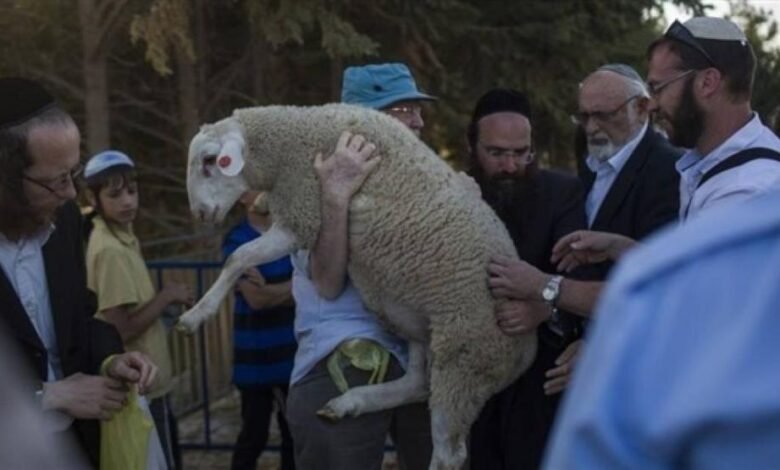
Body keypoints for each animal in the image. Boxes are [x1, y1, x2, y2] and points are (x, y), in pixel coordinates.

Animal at [179, 103, 537, 470]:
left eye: (211, 161)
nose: (200, 212)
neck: (289, 144)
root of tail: (527, 350)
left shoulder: (304, 214)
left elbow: (238, 257)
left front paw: (195, 316)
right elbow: (241, 255)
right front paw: (262, 203)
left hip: (463, 357)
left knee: (449, 454)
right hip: (415, 323)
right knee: (416, 384)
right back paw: (350, 402)